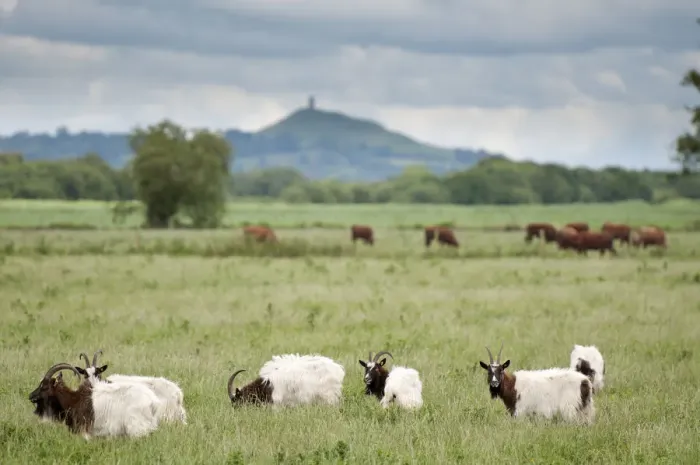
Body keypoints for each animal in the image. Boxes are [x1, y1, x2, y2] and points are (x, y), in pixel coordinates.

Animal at [29, 362, 162, 440]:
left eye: (44, 386)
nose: (30, 396)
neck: (74, 400)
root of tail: (153, 402)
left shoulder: (85, 431)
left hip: (137, 428)